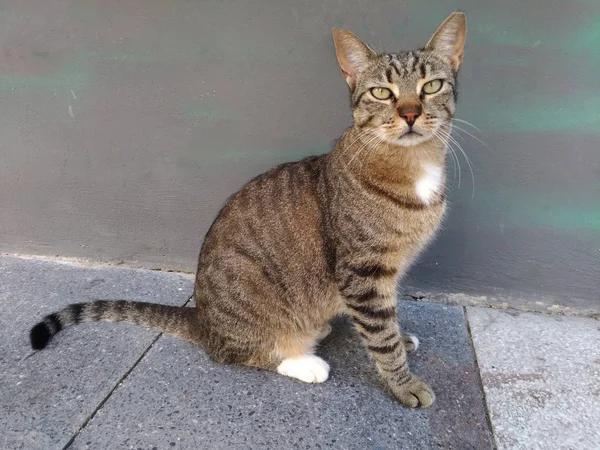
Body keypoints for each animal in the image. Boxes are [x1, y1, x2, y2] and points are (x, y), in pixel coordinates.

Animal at [29, 12, 468, 410]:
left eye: (431, 86)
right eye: (381, 93)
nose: (410, 113)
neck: (413, 166)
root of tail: (203, 320)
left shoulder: (384, 274)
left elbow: (388, 320)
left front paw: (402, 339)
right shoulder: (362, 272)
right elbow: (381, 336)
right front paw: (404, 382)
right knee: (234, 353)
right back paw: (303, 362)